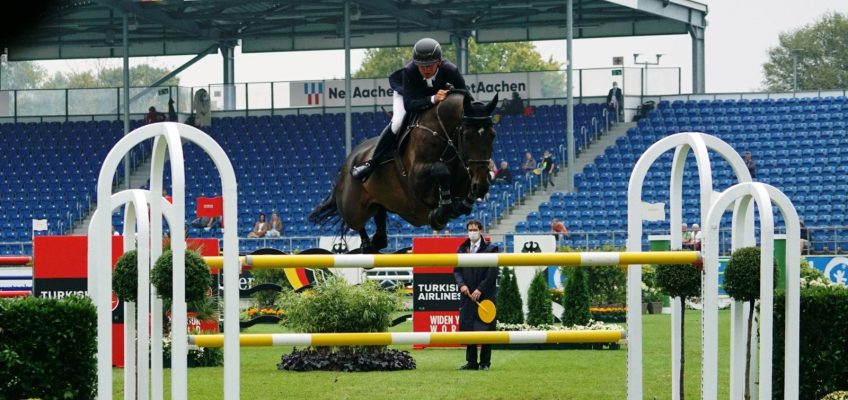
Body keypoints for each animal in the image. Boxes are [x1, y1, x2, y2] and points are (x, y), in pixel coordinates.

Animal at [310, 91, 496, 253]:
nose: (481, 184)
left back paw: (375, 243)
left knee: (380, 220)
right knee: (355, 222)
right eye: (467, 135)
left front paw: (462, 204)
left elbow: (466, 190)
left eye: (493, 135)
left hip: (379, 200)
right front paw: (440, 213)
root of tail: (348, 161)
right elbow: (441, 170)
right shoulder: (416, 179)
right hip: (354, 207)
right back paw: (366, 245)